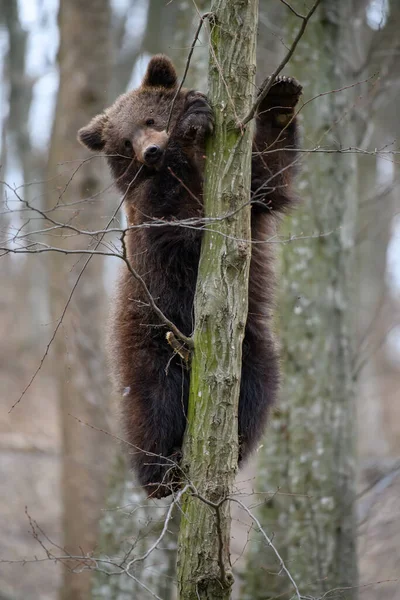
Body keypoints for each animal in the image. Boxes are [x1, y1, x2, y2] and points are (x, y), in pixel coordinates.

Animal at [78, 55, 300, 496]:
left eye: (150, 118)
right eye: (124, 142)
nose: (150, 151)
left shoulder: (244, 192)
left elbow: (268, 176)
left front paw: (280, 98)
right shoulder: (153, 215)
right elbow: (180, 220)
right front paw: (191, 122)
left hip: (251, 344)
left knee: (257, 389)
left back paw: (236, 442)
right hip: (151, 337)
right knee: (154, 403)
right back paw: (161, 470)